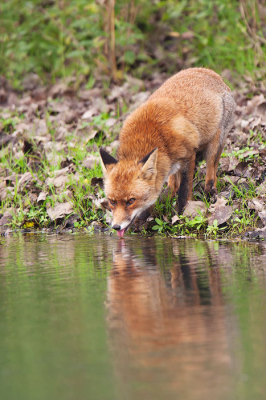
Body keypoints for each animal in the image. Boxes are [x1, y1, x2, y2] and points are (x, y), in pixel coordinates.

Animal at [99, 68, 235, 238]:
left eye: (131, 201)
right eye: (112, 202)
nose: (116, 227)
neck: (148, 135)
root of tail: (210, 72)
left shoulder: (189, 155)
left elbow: (184, 192)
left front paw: (181, 215)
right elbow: (156, 195)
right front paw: (143, 218)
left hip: (214, 145)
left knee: (211, 173)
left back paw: (209, 192)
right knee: (173, 185)